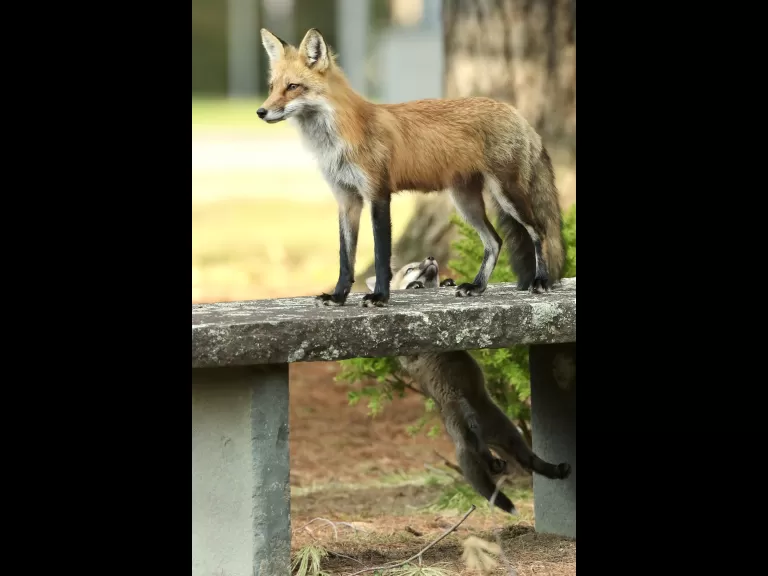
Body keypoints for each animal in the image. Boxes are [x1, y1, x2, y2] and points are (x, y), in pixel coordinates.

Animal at [257, 28, 565, 308]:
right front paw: (338, 296)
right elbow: (346, 258)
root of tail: (515, 112)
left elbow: (382, 255)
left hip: (507, 195)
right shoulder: (347, 200)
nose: (261, 112)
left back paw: (541, 281)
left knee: (539, 231)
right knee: (495, 241)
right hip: (466, 203)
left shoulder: (378, 194)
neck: (337, 142)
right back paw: (477, 287)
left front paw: (380, 297)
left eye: (293, 87)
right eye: (272, 87)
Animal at [363, 257, 572, 515]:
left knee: (528, 462)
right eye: (410, 269)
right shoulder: (409, 350)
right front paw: (416, 286)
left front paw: (448, 282)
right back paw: (496, 463)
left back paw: (555, 469)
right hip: (466, 422)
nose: (431, 258)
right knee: (483, 453)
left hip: (510, 434)